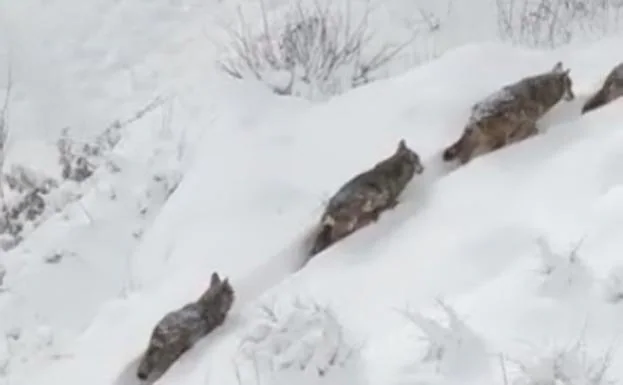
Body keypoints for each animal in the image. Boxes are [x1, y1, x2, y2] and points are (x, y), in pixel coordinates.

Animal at [444, 60, 576, 164]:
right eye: (570, 86)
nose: (573, 97)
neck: (541, 92)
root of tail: (474, 117)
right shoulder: (528, 126)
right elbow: (532, 133)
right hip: (499, 139)